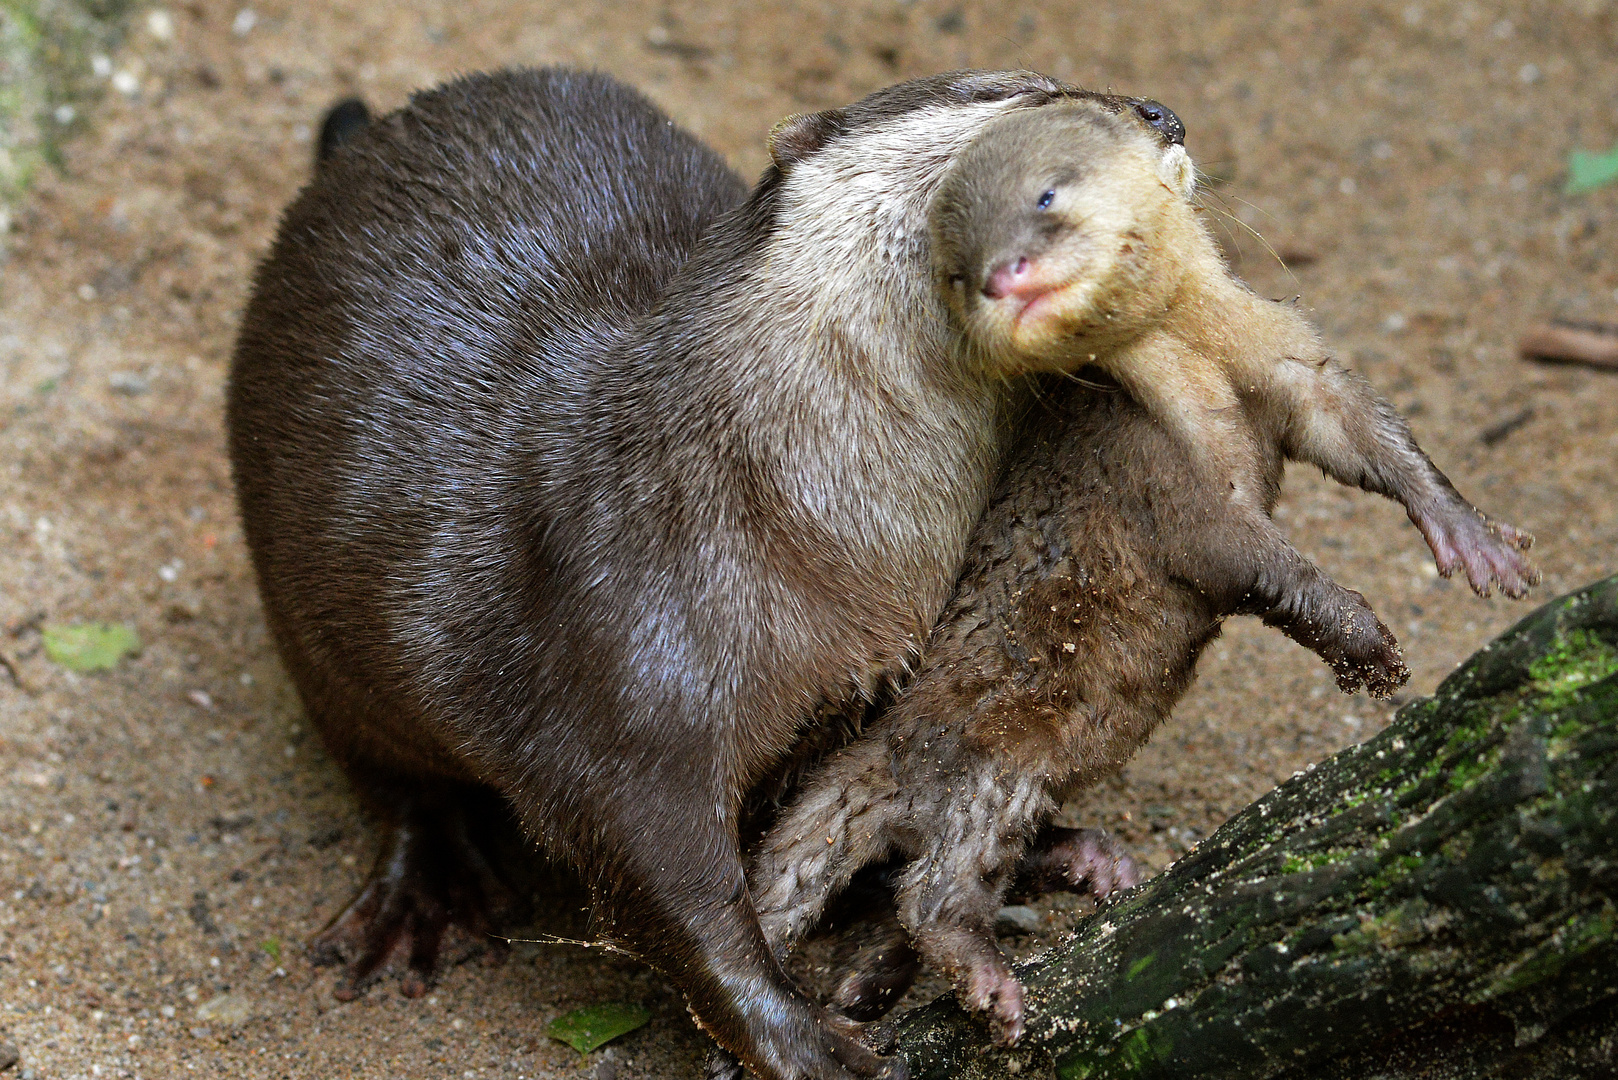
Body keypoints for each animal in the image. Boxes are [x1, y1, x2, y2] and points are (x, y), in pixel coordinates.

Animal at [228, 69, 1184, 1080]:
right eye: (1020, 90)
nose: (1161, 117)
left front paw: (1031, 855)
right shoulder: (617, 676)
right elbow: (666, 888)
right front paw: (805, 1040)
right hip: (315, 638)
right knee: (384, 768)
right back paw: (424, 890)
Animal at [750, 99, 1533, 1049]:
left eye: (1046, 197)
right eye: (955, 270)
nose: (1003, 278)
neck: (1201, 366)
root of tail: (878, 750)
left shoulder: (1295, 362)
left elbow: (1375, 438)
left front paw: (1474, 542)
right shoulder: (1160, 477)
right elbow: (1264, 568)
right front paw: (1367, 647)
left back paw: (1082, 867)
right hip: (992, 761)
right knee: (928, 892)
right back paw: (990, 979)